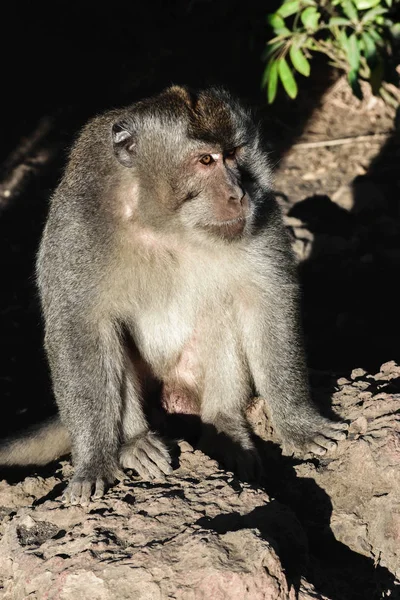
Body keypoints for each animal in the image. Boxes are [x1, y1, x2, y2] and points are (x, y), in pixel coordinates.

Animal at [0, 86, 346, 504]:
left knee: (220, 311)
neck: (164, 223)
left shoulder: (261, 215)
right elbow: (79, 326)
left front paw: (298, 421)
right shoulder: (77, 226)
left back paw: (223, 425)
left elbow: (266, 299)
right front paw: (94, 462)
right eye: (205, 160)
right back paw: (134, 442)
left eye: (235, 153)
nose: (239, 194)